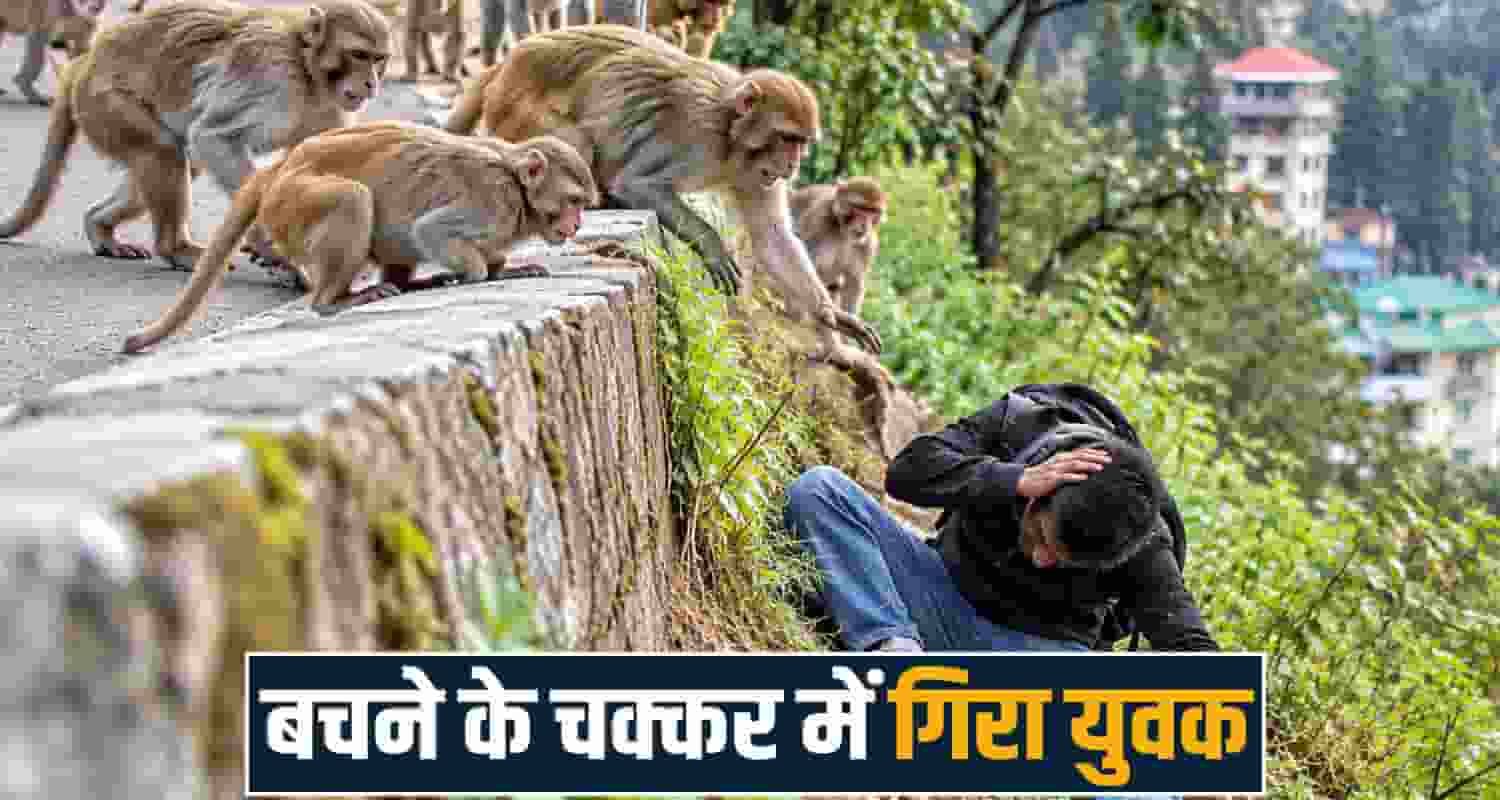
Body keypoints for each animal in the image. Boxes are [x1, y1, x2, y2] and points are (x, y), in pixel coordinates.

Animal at [0, 0, 393, 273]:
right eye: (358, 55)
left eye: (379, 59)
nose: (371, 83)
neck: (308, 70)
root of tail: (86, 62)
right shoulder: (270, 72)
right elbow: (213, 137)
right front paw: (267, 241)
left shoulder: (332, 111)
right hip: (103, 100)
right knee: (164, 150)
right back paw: (175, 248)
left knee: (179, 160)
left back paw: (100, 225)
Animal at [122, 121, 599, 354]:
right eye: (573, 200)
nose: (576, 225)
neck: (519, 189)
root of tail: (278, 170)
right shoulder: (490, 202)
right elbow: (433, 231)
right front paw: (481, 275)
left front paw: (508, 269)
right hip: (295, 204)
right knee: (354, 200)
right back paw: (335, 300)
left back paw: (408, 282)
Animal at [789, 176, 885, 319]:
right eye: (859, 208)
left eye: (872, 211)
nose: (864, 225)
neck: (843, 231)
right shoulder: (819, 218)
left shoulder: (868, 244)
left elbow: (854, 282)